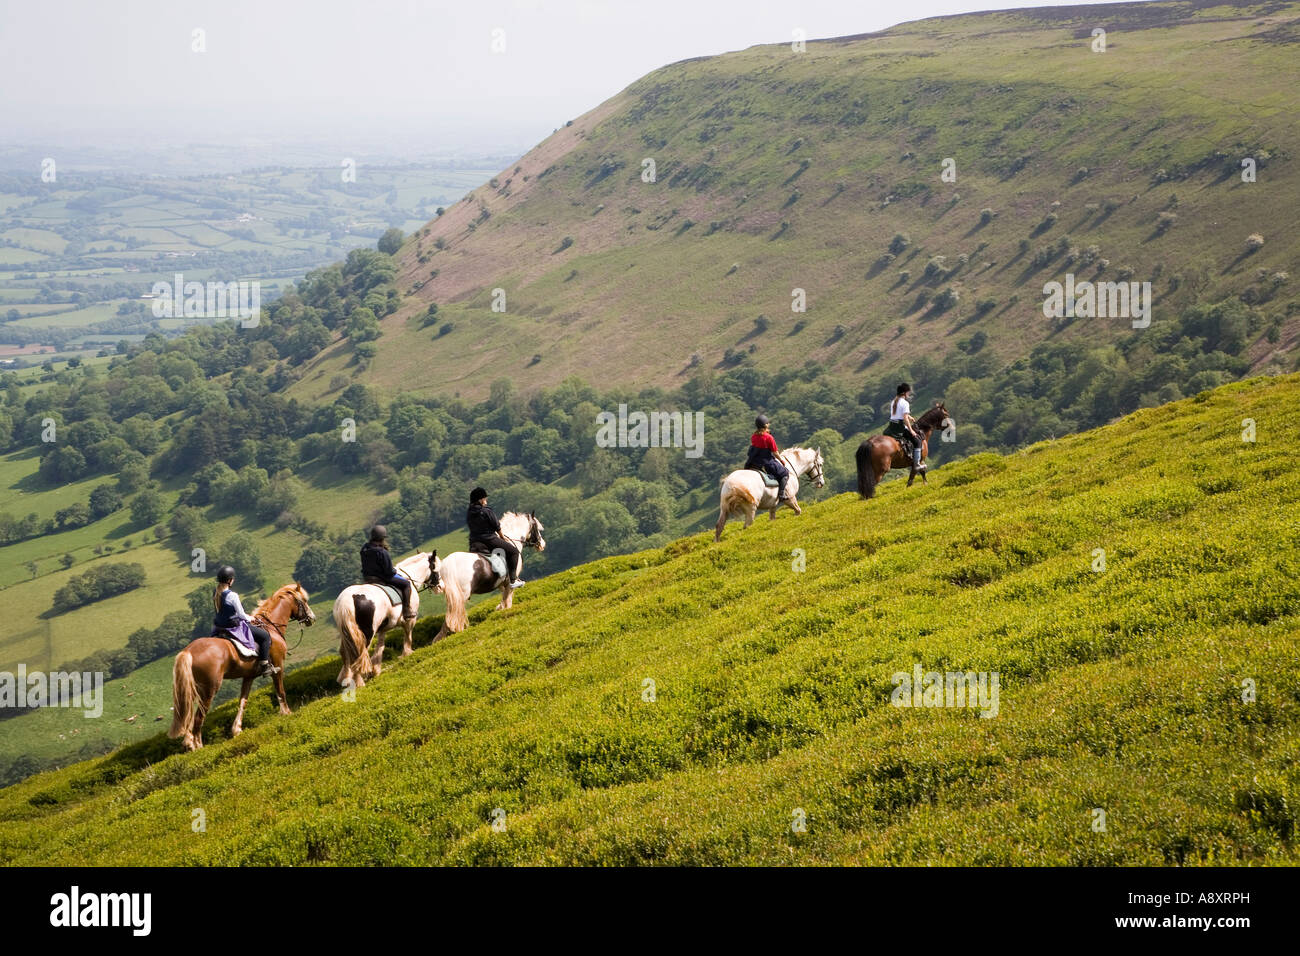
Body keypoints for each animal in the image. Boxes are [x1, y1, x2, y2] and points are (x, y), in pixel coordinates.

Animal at [167, 580, 314, 749]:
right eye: (304, 600)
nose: (312, 618)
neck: (270, 626)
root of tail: (188, 651)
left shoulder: (248, 676)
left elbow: (243, 701)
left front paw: (236, 729)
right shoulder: (278, 666)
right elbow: (280, 690)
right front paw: (286, 713)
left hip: (191, 690)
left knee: (188, 717)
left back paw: (190, 743)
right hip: (209, 689)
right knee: (198, 718)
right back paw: (199, 747)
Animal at [332, 546, 439, 686]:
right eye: (436, 567)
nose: (439, 585)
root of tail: (347, 600)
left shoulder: (383, 628)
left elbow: (380, 646)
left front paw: (375, 669)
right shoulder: (410, 619)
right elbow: (408, 635)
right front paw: (407, 653)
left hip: (347, 633)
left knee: (345, 653)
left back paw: (345, 678)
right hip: (366, 633)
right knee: (359, 653)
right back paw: (359, 682)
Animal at [431, 509, 543, 642]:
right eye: (536, 527)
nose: (542, 544)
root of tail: (448, 564)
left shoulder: (502, 583)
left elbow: (504, 597)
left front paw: (499, 608)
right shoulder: (509, 581)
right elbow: (508, 598)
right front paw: (505, 610)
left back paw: (439, 637)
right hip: (462, 594)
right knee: (454, 613)